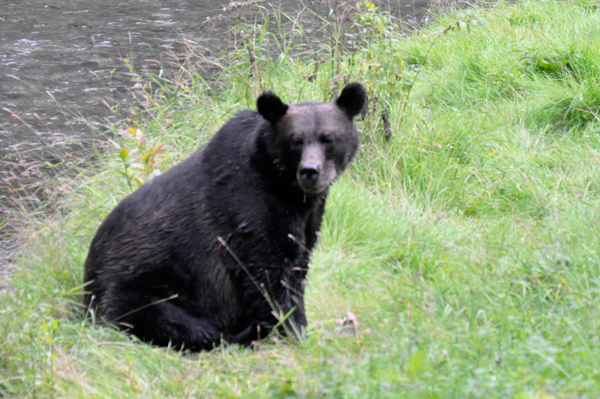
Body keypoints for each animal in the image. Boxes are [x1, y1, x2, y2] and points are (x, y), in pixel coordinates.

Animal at [82, 83, 366, 352]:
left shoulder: (306, 223)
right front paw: (290, 330)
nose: (310, 172)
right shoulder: (248, 208)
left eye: (328, 138)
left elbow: (297, 270)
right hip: (138, 286)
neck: (288, 191)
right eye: (295, 140)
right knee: (173, 322)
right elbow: (267, 277)